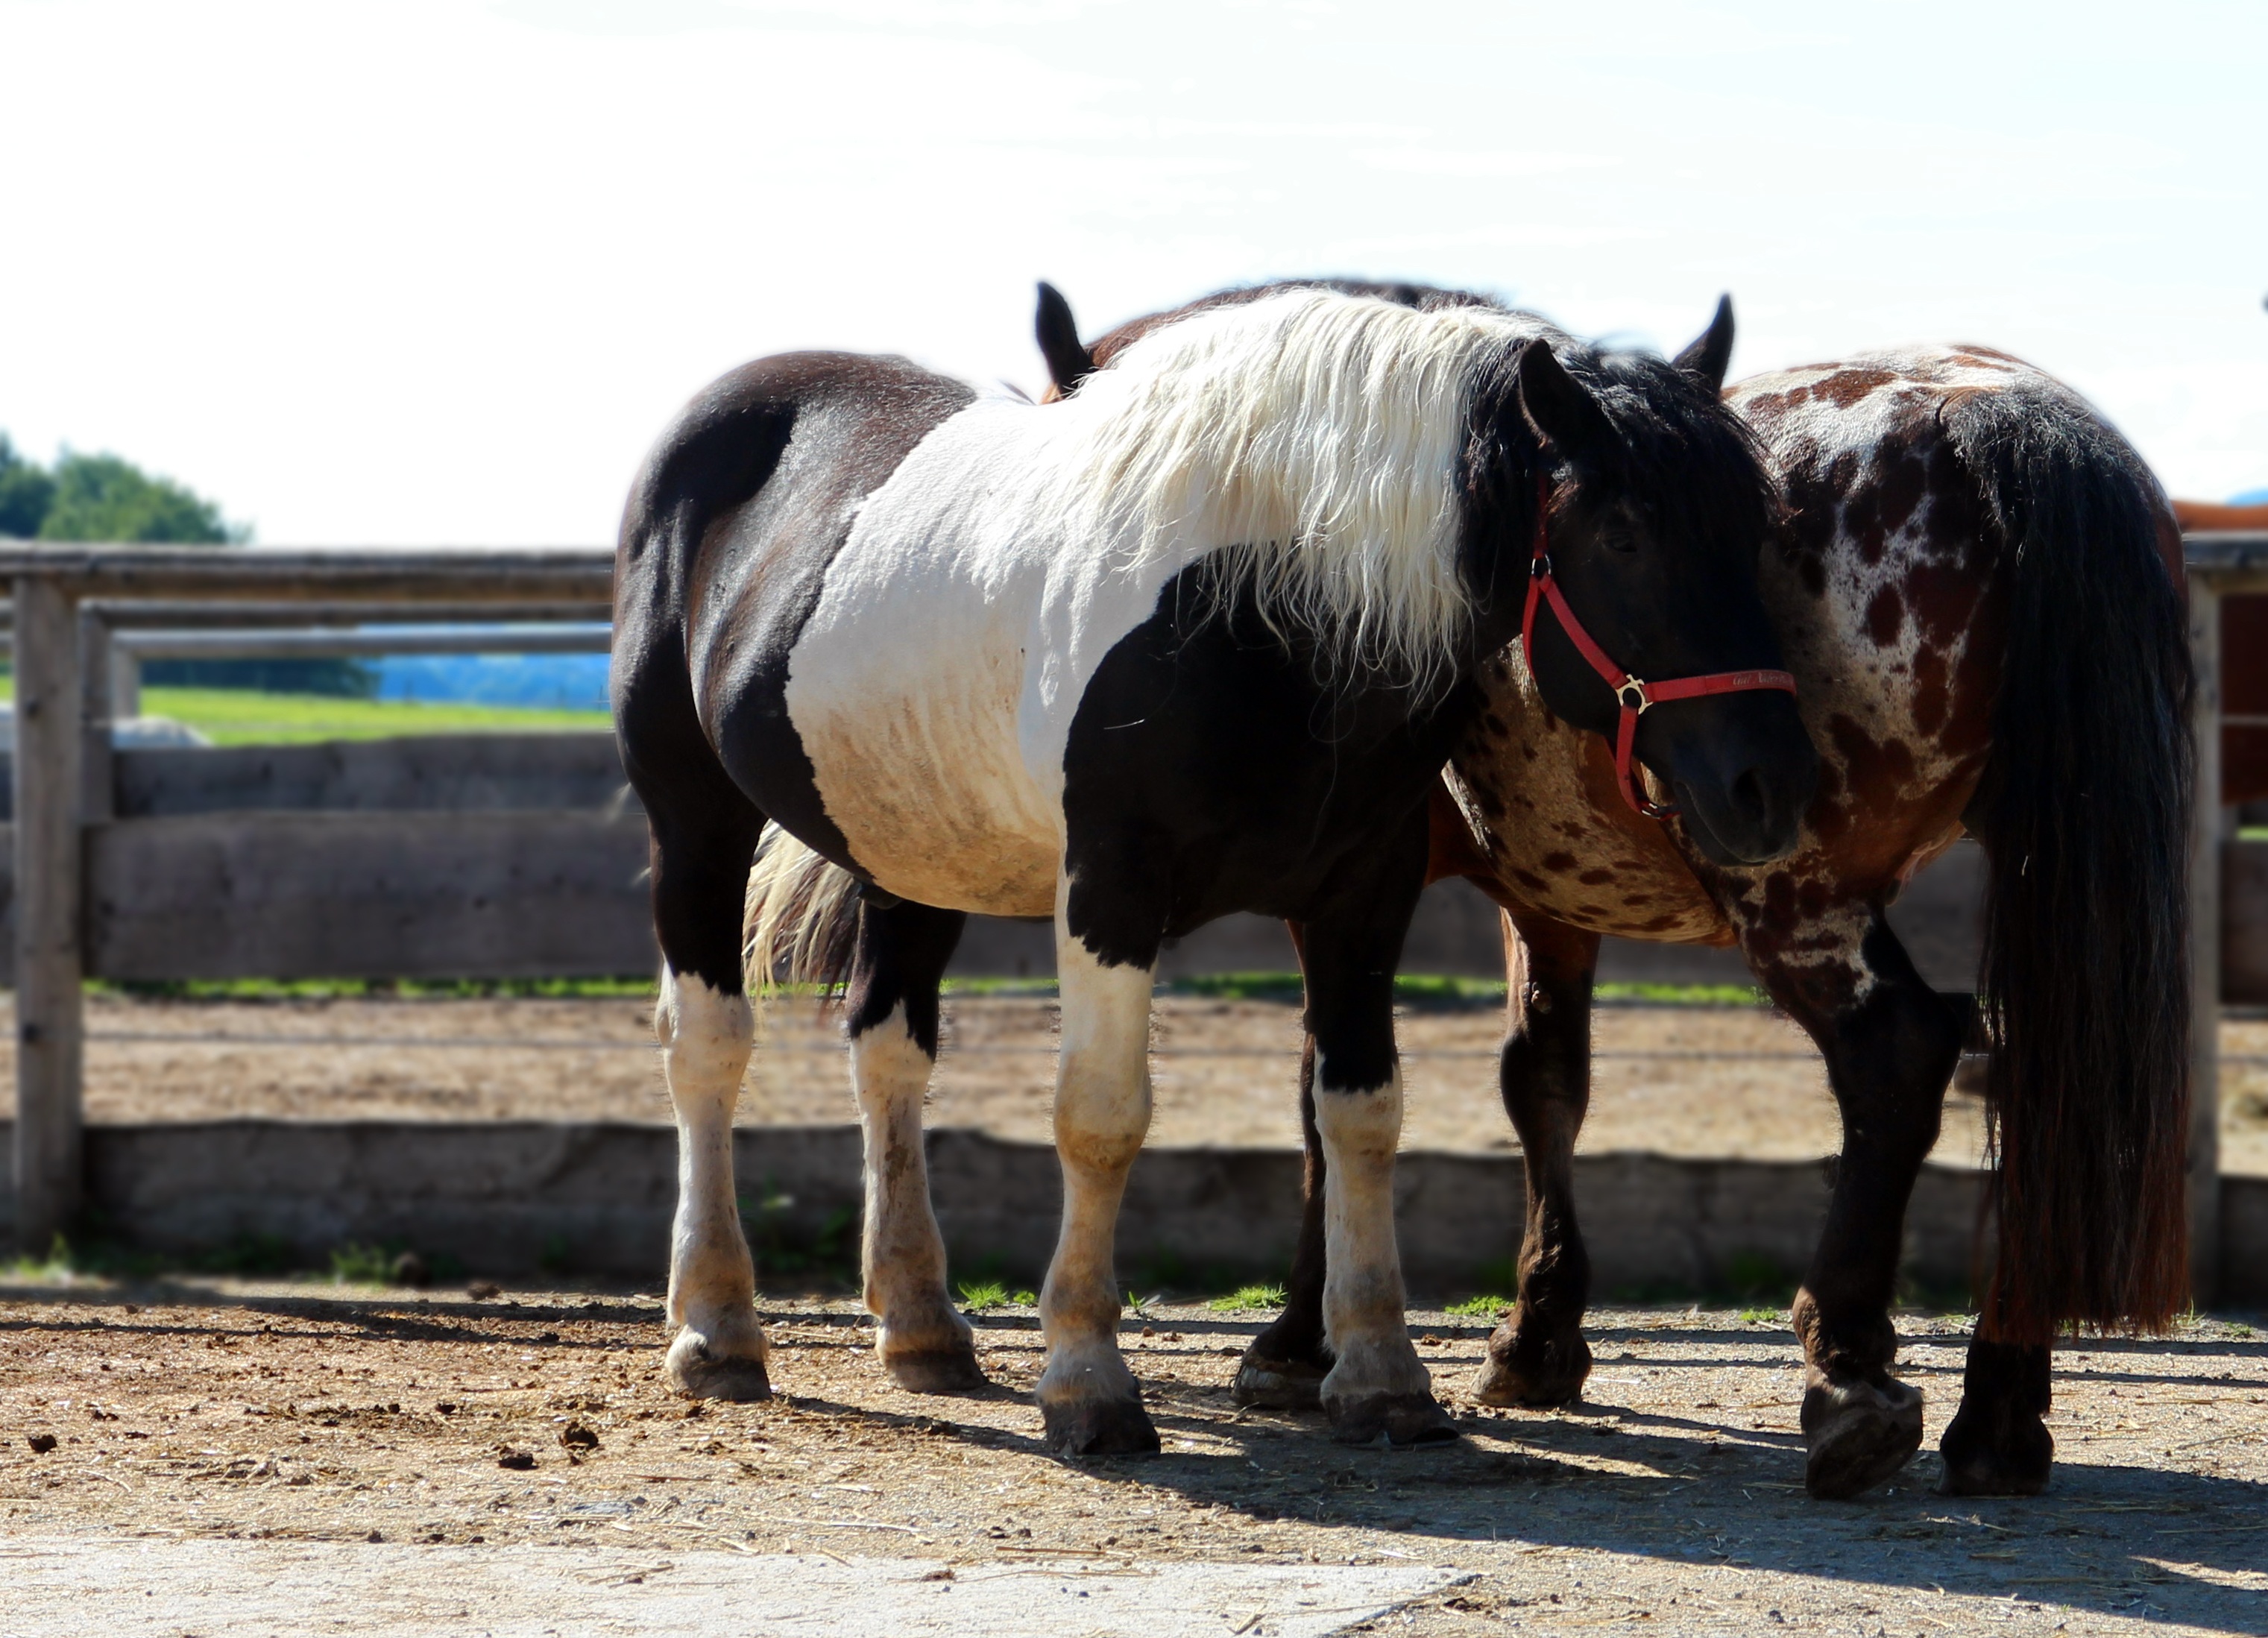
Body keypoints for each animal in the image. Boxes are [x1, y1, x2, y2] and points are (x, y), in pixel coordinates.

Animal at [612, 286, 1814, 1452]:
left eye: (1758, 531)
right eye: (1621, 534)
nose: (1770, 785)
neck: (1259, 604)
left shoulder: (1361, 896)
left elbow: (1359, 1113)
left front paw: (1380, 1376)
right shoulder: (1110, 888)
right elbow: (1101, 1117)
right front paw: (1088, 1382)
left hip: (910, 851)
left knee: (888, 1050)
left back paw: (921, 1325)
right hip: (695, 819)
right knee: (708, 1046)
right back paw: (718, 1330)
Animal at [1043, 283, 2195, 1497]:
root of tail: (1993, 411)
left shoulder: (1353, 887)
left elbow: (1328, 1093)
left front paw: (1298, 1338)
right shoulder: (1551, 893)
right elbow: (1542, 1080)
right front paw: (1539, 1331)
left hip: (1796, 894)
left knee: (1901, 1052)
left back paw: (1847, 1369)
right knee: (2034, 1078)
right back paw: (1999, 1411)